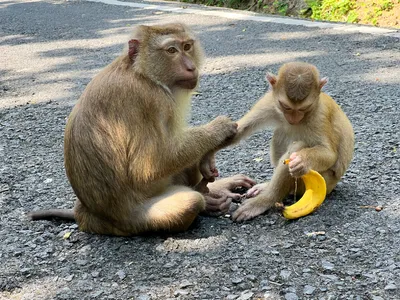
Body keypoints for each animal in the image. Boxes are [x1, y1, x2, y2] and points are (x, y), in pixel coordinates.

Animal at [28, 22, 255, 234]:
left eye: (187, 46)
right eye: (171, 50)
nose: (191, 67)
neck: (142, 73)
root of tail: (88, 216)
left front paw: (209, 162)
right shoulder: (151, 100)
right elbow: (149, 165)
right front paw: (218, 130)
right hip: (135, 220)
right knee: (190, 200)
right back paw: (205, 201)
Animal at [231, 61, 354, 220]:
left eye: (304, 108)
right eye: (286, 106)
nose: (293, 119)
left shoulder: (320, 116)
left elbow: (329, 154)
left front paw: (302, 160)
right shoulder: (269, 101)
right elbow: (240, 130)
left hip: (323, 181)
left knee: (297, 146)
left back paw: (265, 200)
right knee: (281, 132)